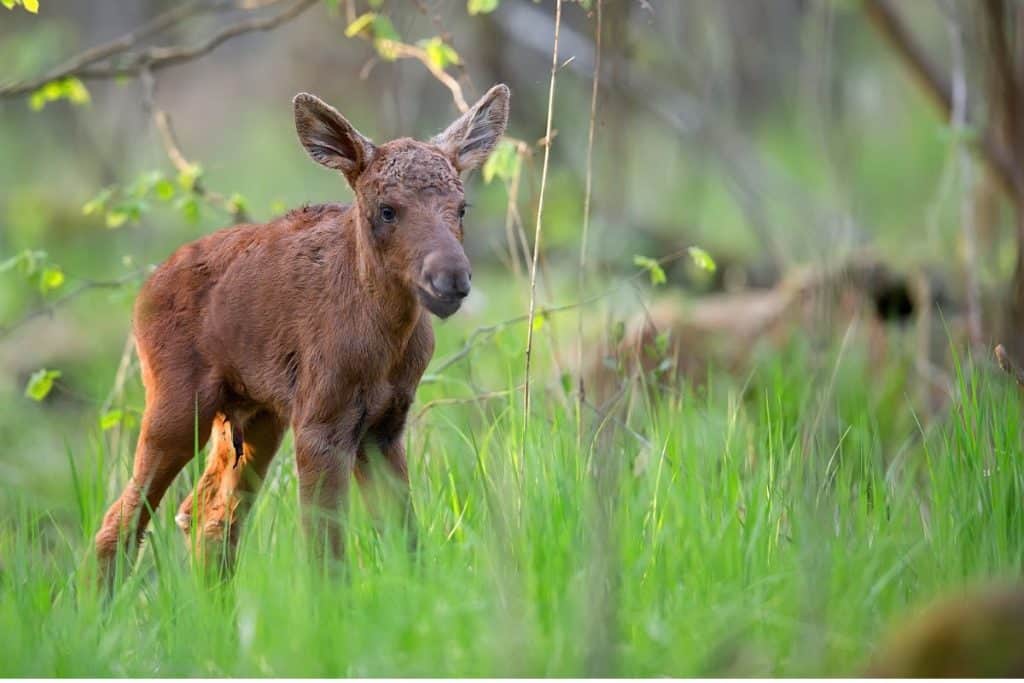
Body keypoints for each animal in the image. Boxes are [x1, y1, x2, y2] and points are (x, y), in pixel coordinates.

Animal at [94, 83, 509, 589]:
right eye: (386, 210)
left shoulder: (384, 427)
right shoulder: (320, 424)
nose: (451, 278)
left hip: (255, 417)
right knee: (122, 520)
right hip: (177, 407)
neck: (386, 343)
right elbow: (327, 556)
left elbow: (406, 541)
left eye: (461, 207)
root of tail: (145, 288)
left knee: (208, 515)